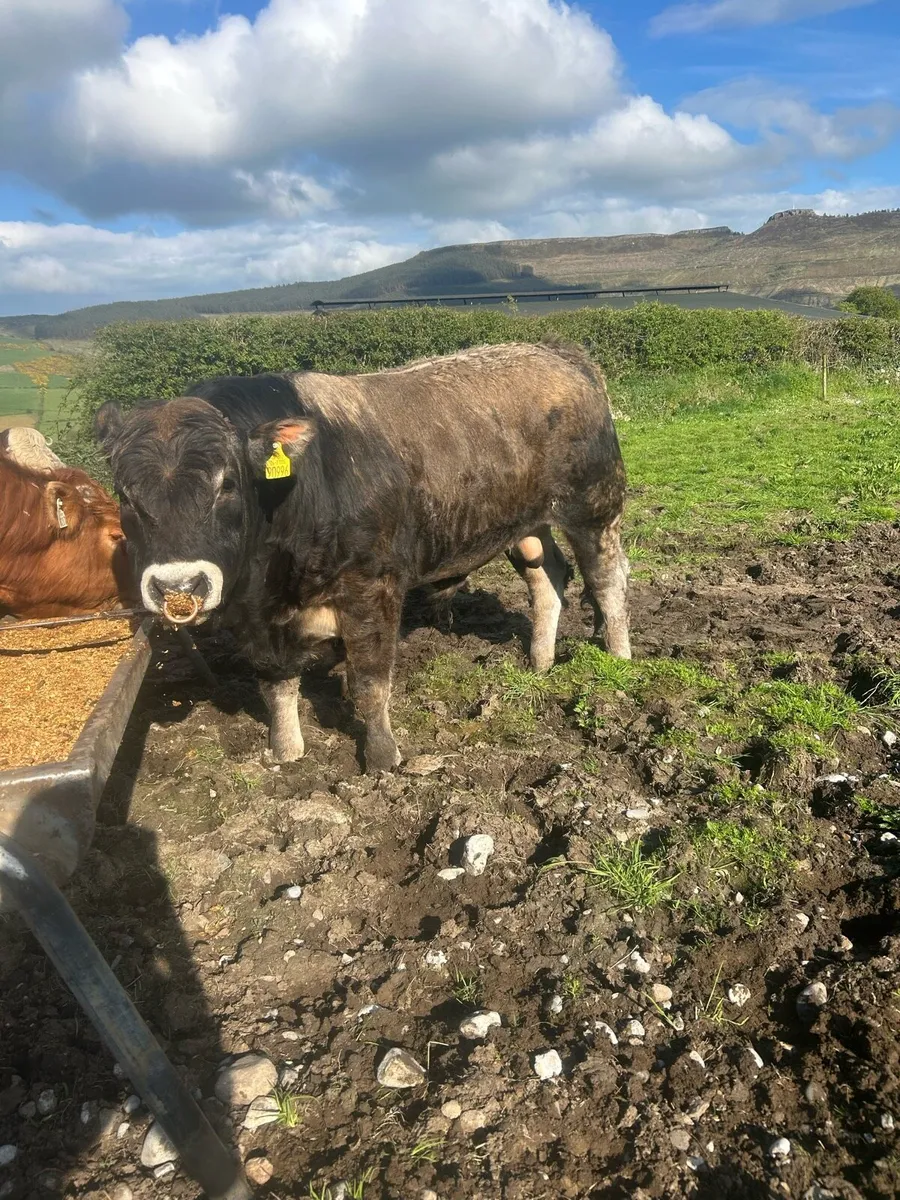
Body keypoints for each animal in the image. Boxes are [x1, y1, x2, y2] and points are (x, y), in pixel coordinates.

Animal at [94, 341, 631, 771]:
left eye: (226, 483)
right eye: (126, 494)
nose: (178, 587)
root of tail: (556, 351)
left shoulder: (372, 587)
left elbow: (371, 682)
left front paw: (382, 757)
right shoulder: (256, 620)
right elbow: (275, 684)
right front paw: (285, 751)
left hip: (594, 507)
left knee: (608, 581)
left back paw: (621, 661)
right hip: (527, 526)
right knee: (549, 578)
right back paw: (540, 661)